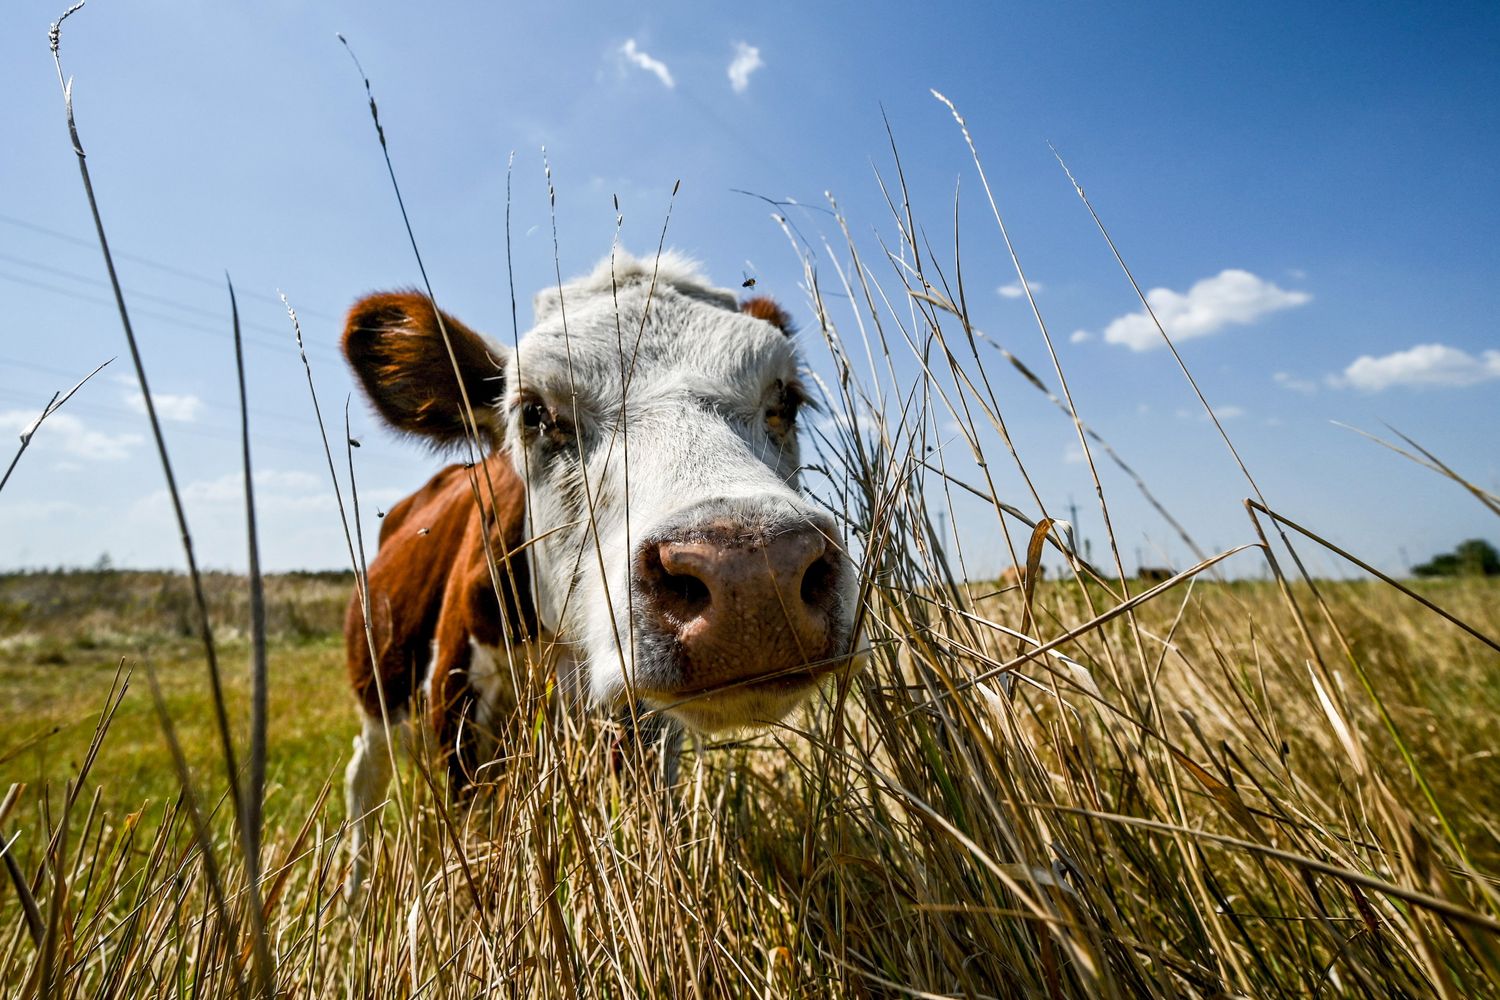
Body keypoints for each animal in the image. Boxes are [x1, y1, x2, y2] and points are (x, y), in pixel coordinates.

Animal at [339, 252, 860, 893]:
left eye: (786, 401)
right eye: (534, 412)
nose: (752, 577)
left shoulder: (643, 732)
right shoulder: (455, 706)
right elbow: (478, 841)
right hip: (380, 684)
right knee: (364, 778)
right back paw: (356, 891)